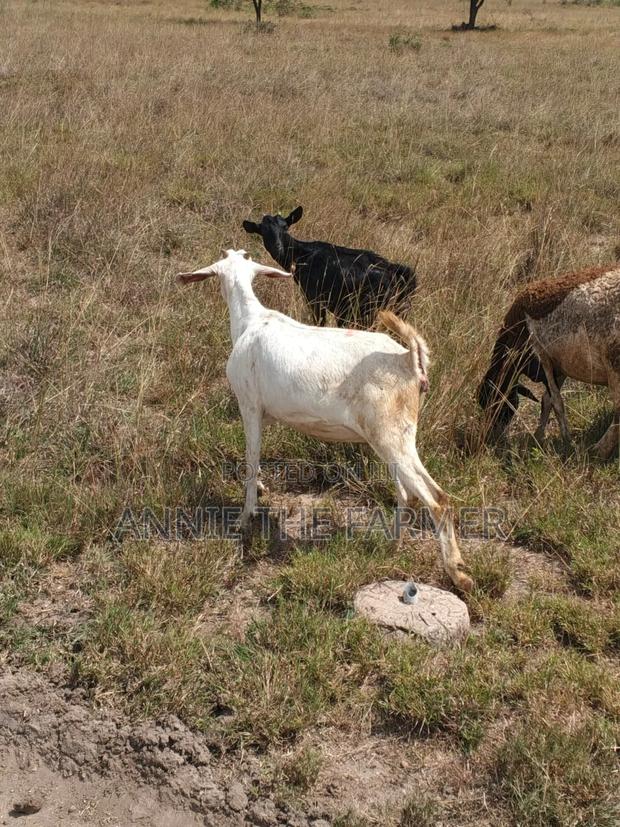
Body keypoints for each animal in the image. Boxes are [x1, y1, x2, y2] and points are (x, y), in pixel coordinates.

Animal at [178, 249, 472, 592]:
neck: (251, 321)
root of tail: (409, 361)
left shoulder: (248, 404)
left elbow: (250, 458)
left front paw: (245, 516)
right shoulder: (266, 413)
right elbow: (257, 457)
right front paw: (262, 488)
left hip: (390, 434)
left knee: (437, 500)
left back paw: (458, 573)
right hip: (396, 437)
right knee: (407, 493)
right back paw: (393, 545)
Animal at [242, 206, 417, 328]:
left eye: (285, 227)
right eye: (263, 231)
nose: (278, 247)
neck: (302, 255)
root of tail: (396, 270)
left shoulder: (315, 299)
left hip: (370, 310)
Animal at [478, 264, 620, 458]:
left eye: (493, 400)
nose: (492, 436)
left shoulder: (542, 357)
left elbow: (557, 402)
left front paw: (567, 442)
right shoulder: (558, 367)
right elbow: (547, 400)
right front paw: (538, 436)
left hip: (615, 365)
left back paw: (599, 450)